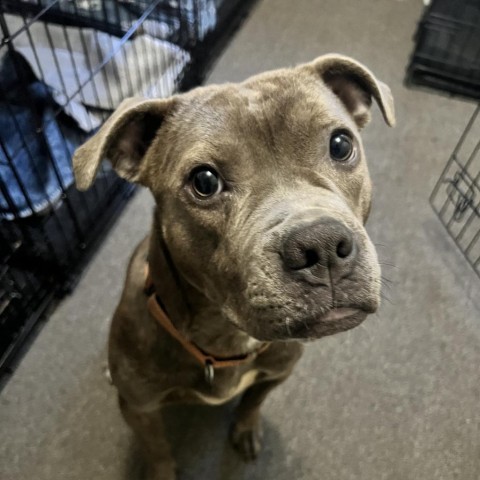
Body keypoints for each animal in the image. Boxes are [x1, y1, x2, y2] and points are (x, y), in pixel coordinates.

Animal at [71, 53, 394, 480]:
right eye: (204, 181)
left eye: (340, 144)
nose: (321, 244)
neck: (225, 339)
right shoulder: (139, 409)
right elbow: (158, 451)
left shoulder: (277, 373)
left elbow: (253, 401)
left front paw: (245, 428)